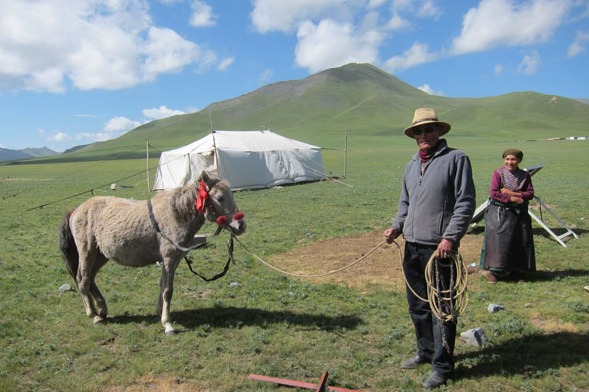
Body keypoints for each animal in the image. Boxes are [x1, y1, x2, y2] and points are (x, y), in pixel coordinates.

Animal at [58, 172, 246, 334]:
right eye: (219, 198)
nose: (241, 225)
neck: (176, 214)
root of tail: (75, 210)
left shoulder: (174, 259)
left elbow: (163, 285)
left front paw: (160, 312)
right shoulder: (169, 258)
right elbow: (168, 290)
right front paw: (168, 324)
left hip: (101, 255)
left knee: (91, 278)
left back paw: (102, 309)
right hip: (87, 252)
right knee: (82, 279)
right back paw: (94, 315)